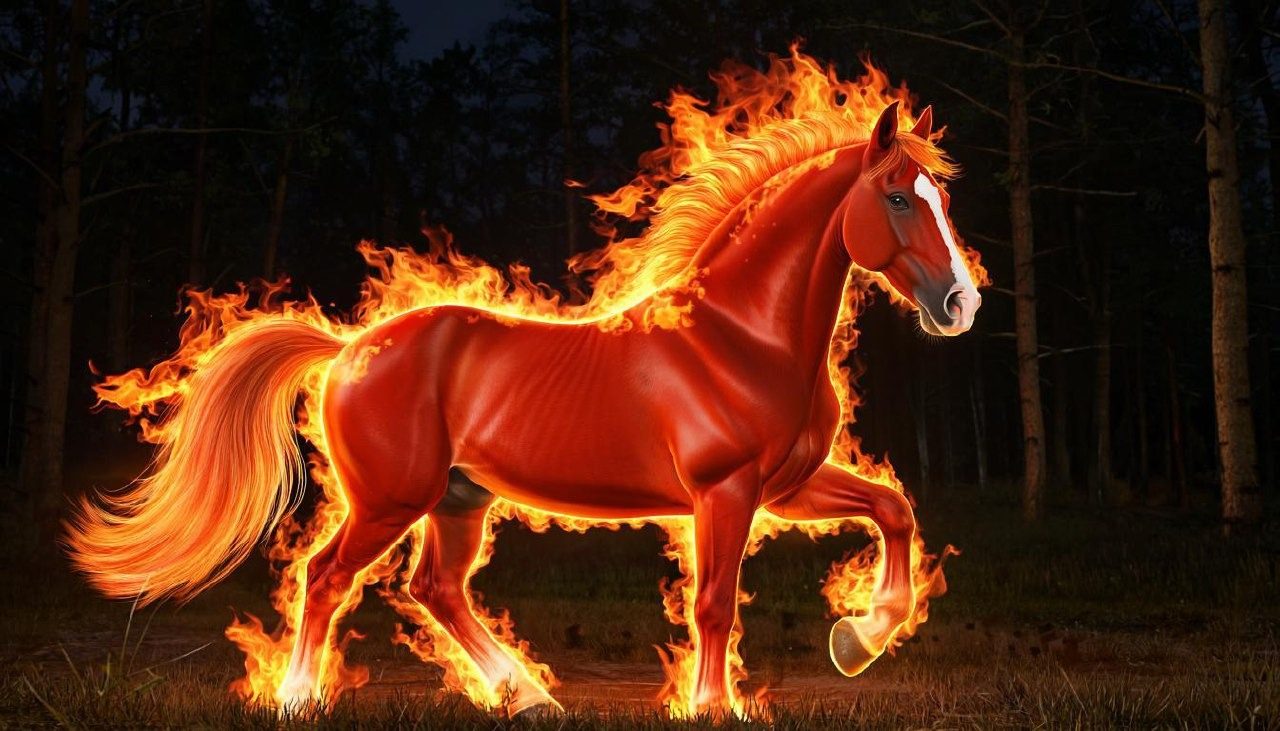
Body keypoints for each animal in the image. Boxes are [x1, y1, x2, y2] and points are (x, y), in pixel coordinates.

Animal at [67, 98, 980, 716]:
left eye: (939, 196)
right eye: (899, 197)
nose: (961, 304)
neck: (740, 336)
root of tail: (350, 347)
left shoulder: (785, 489)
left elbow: (893, 509)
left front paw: (858, 639)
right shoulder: (723, 494)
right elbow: (714, 603)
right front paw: (713, 705)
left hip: (457, 500)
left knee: (437, 587)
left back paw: (530, 694)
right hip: (390, 498)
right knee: (325, 577)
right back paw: (298, 697)